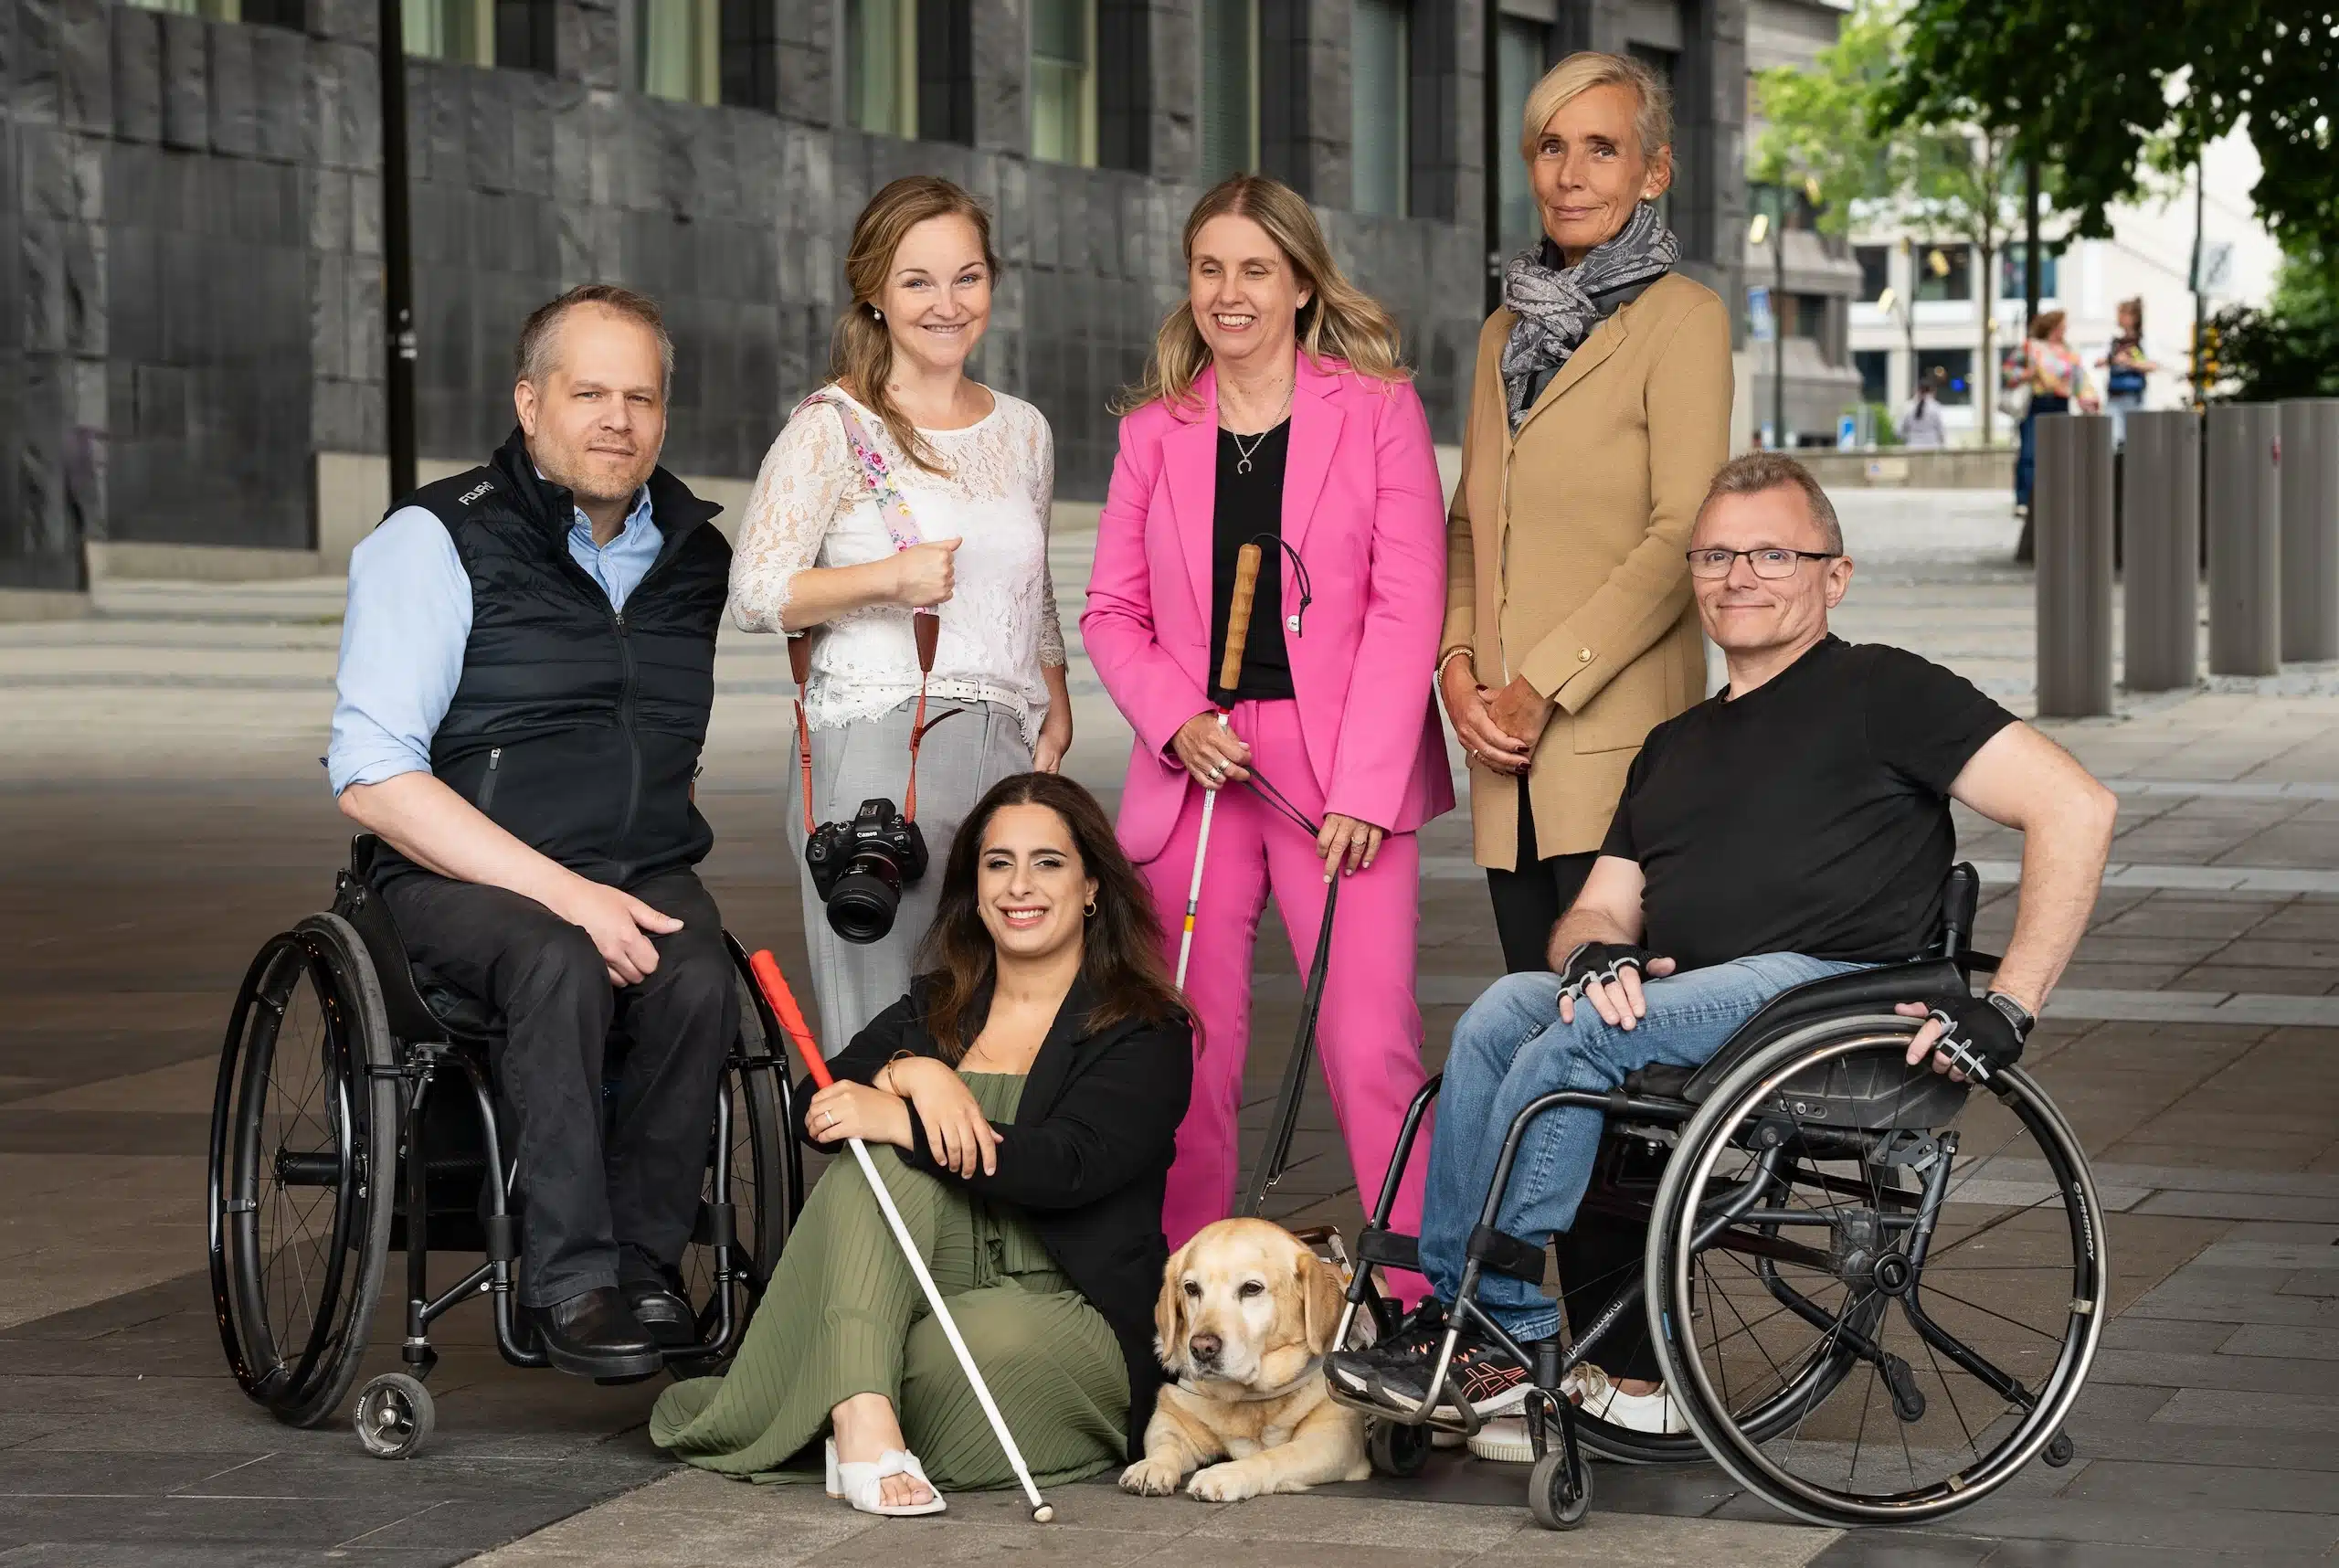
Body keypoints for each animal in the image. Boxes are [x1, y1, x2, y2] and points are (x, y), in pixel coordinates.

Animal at [1117, 1226, 1366, 1507]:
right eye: (1191, 1288)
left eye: (1251, 1288)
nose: (1201, 1348)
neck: (1249, 1397)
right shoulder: (1170, 1415)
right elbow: (1165, 1443)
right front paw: (1151, 1465)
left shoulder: (1334, 1439)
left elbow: (1275, 1455)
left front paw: (1225, 1474)